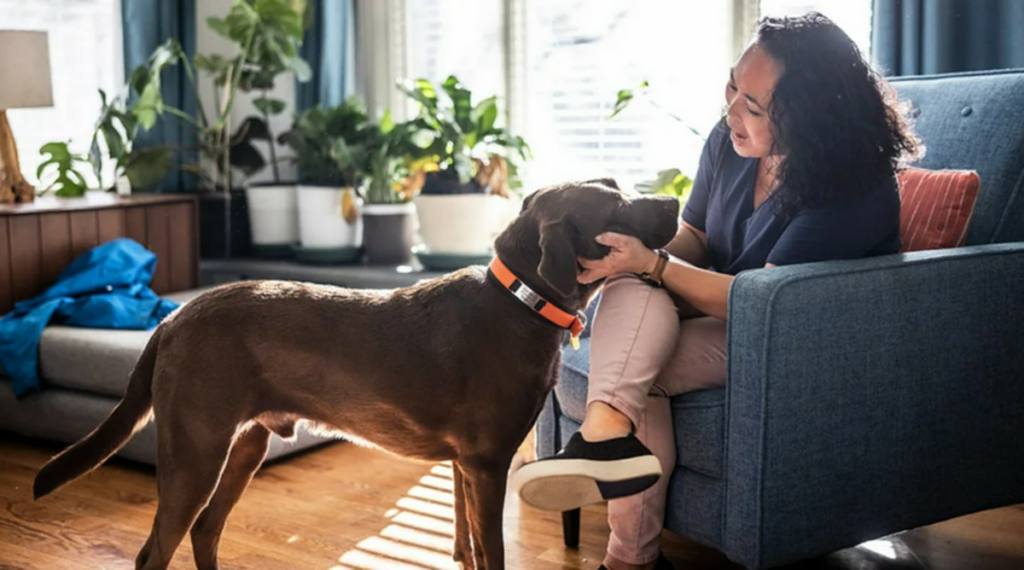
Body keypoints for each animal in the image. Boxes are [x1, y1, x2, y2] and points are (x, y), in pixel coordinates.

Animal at [32, 179, 679, 568]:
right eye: (617, 205)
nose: (675, 202)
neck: (520, 300)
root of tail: (173, 317)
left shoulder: (463, 468)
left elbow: (468, 546)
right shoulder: (487, 464)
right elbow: (491, 551)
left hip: (244, 446)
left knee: (205, 531)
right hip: (196, 454)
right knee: (156, 550)